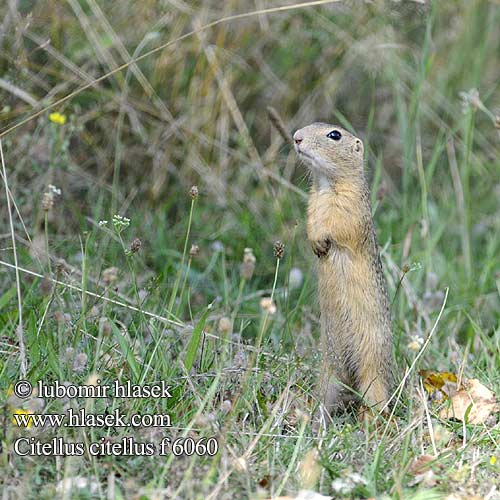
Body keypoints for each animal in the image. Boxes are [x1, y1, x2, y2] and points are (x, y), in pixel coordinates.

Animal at [292, 123, 394, 424]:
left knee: (376, 397)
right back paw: (315, 419)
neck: (326, 186)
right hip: (329, 369)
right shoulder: (312, 204)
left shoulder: (350, 207)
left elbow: (338, 226)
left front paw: (322, 241)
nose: (296, 137)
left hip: (373, 367)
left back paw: (372, 423)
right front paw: (315, 244)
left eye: (334, 135)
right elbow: (312, 222)